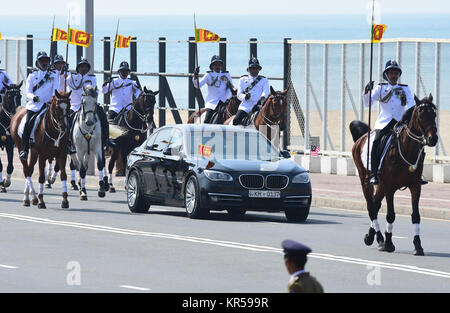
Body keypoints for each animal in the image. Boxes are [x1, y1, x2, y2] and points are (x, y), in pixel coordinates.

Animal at [350, 94, 438, 255]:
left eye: (434, 114)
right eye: (421, 115)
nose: (432, 139)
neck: (407, 149)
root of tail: (362, 138)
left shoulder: (415, 186)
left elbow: (416, 215)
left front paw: (418, 245)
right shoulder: (390, 187)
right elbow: (390, 215)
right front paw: (389, 242)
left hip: (380, 186)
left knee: (375, 204)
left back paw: (372, 236)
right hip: (365, 180)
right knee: (371, 207)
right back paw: (379, 239)